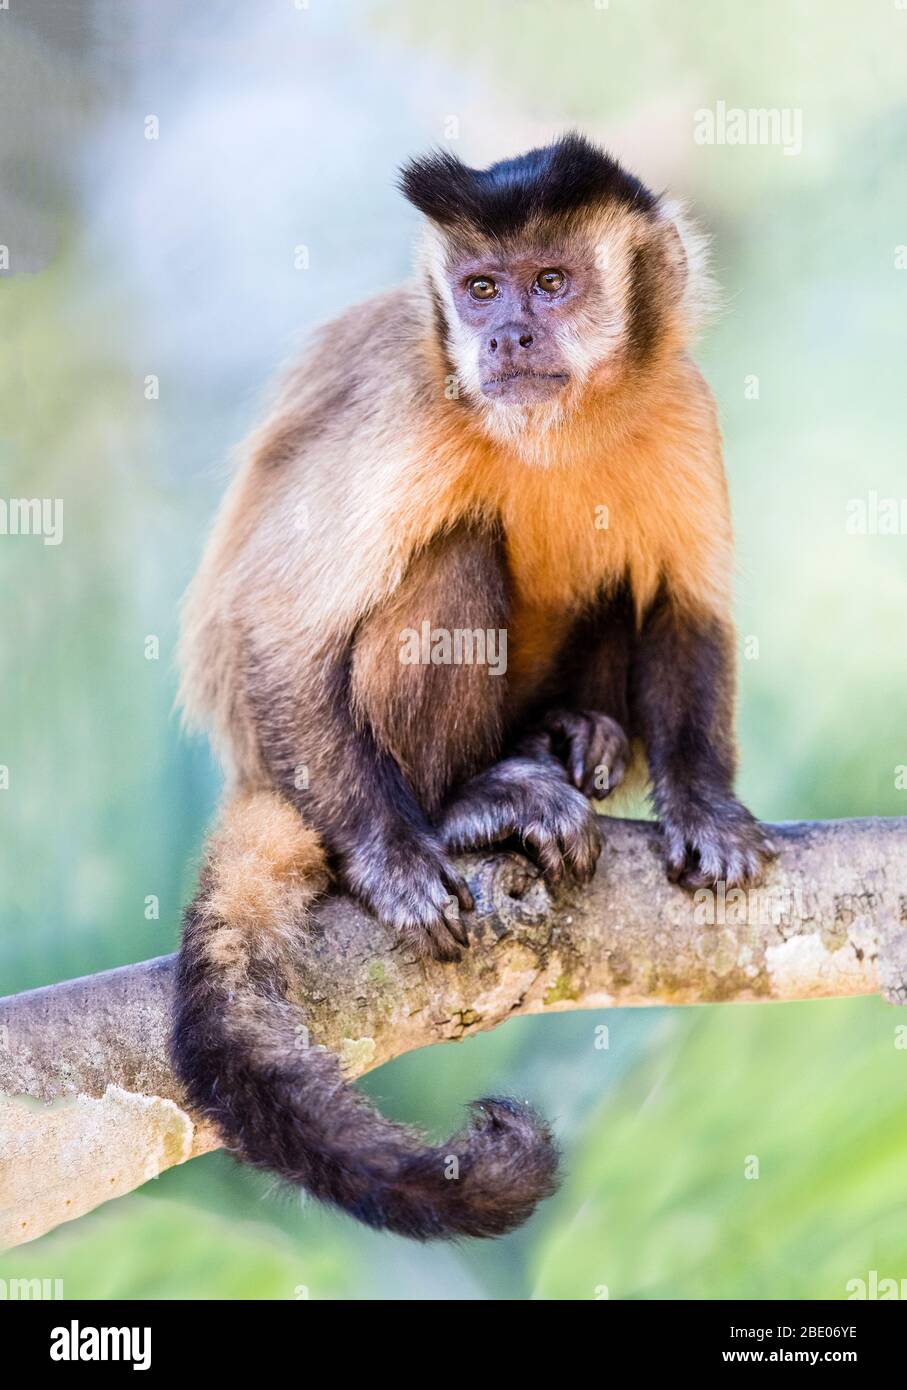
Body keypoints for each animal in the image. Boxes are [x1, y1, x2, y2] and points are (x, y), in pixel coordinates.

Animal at [169, 132, 772, 1239]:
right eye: (481, 289)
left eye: (551, 282)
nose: (507, 334)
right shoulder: (414, 414)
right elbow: (276, 622)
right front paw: (394, 858)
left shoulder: (682, 403)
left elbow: (685, 610)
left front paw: (705, 806)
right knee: (455, 556)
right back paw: (464, 807)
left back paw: (564, 735)